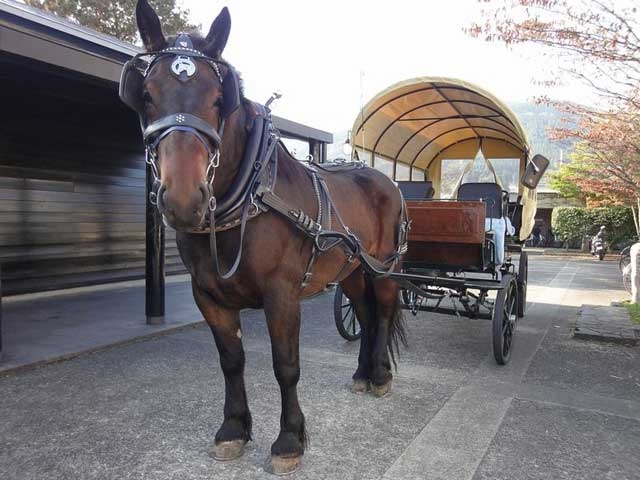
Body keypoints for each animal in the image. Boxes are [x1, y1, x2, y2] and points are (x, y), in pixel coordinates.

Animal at [130, 0, 404, 472]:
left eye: (218, 99)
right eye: (146, 95)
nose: (183, 199)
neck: (248, 195)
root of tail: (381, 177)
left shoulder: (282, 294)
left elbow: (285, 365)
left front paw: (289, 438)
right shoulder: (209, 296)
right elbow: (231, 361)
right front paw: (233, 429)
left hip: (383, 267)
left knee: (383, 312)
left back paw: (381, 376)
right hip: (350, 269)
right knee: (366, 316)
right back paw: (362, 374)